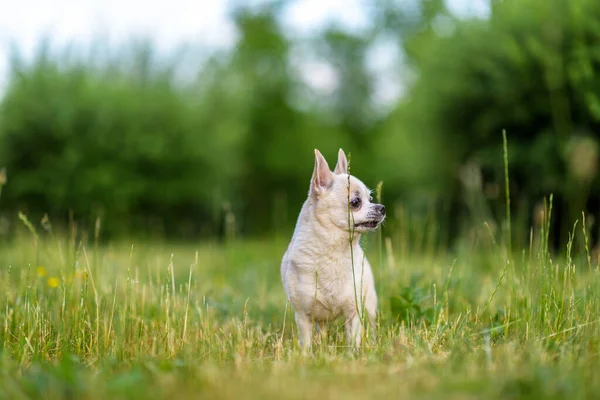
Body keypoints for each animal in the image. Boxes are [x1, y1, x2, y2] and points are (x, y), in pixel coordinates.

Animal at [280, 148, 386, 350]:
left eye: (370, 198)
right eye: (355, 202)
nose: (382, 207)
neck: (334, 251)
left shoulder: (353, 312)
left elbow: (353, 340)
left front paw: (353, 354)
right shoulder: (303, 317)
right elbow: (306, 344)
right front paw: (306, 356)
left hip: (369, 304)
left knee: (372, 325)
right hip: (320, 321)